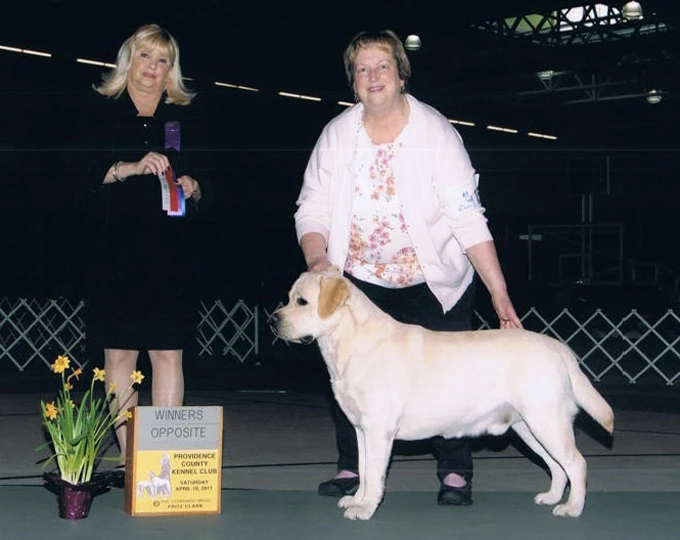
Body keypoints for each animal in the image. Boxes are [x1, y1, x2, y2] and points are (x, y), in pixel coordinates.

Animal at [272, 272, 616, 520]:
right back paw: (551, 497)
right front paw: (355, 500)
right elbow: (364, 470)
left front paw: (366, 508)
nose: (273, 320)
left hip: (546, 422)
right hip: (528, 427)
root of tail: (559, 347)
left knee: (576, 464)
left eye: (302, 301)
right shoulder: (360, 428)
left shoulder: (378, 429)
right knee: (557, 466)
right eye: (288, 299)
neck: (349, 342)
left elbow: (373, 474)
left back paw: (572, 508)